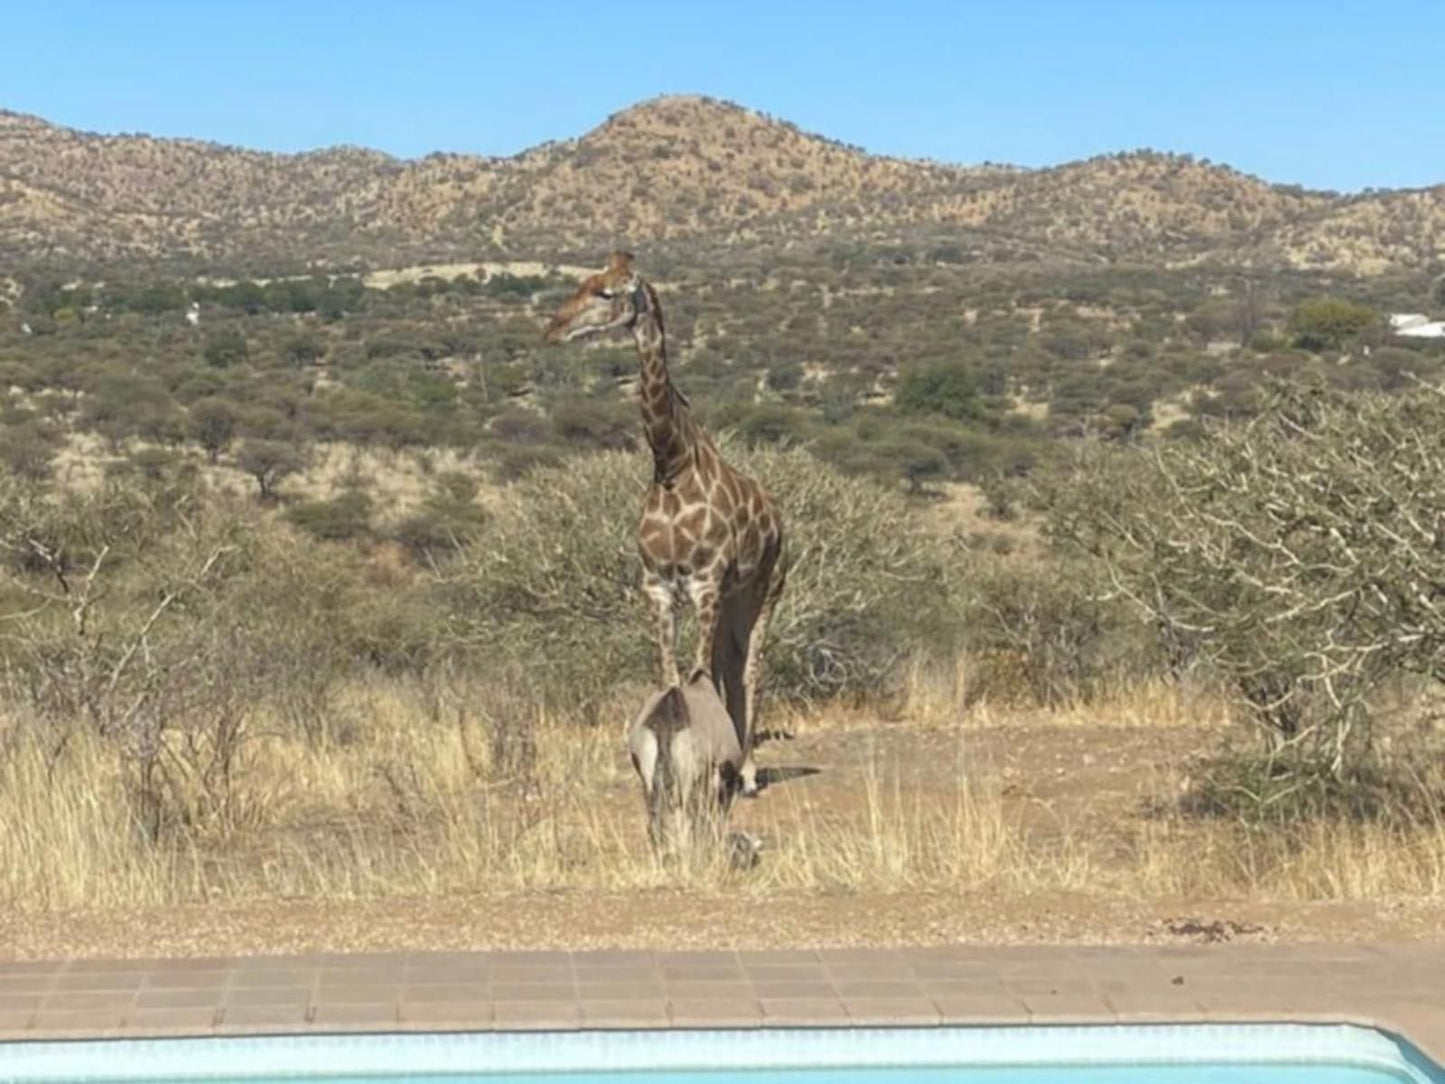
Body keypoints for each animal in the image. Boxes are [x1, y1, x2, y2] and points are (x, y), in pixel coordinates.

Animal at [543, 254, 791, 797]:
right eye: (584, 282)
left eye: (607, 293)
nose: (552, 328)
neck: (671, 465)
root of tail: (779, 517)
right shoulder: (657, 585)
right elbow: (672, 675)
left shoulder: (704, 583)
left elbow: (699, 674)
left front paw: (716, 770)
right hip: (732, 597)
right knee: (729, 664)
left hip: (765, 587)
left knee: (752, 667)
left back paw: (747, 772)